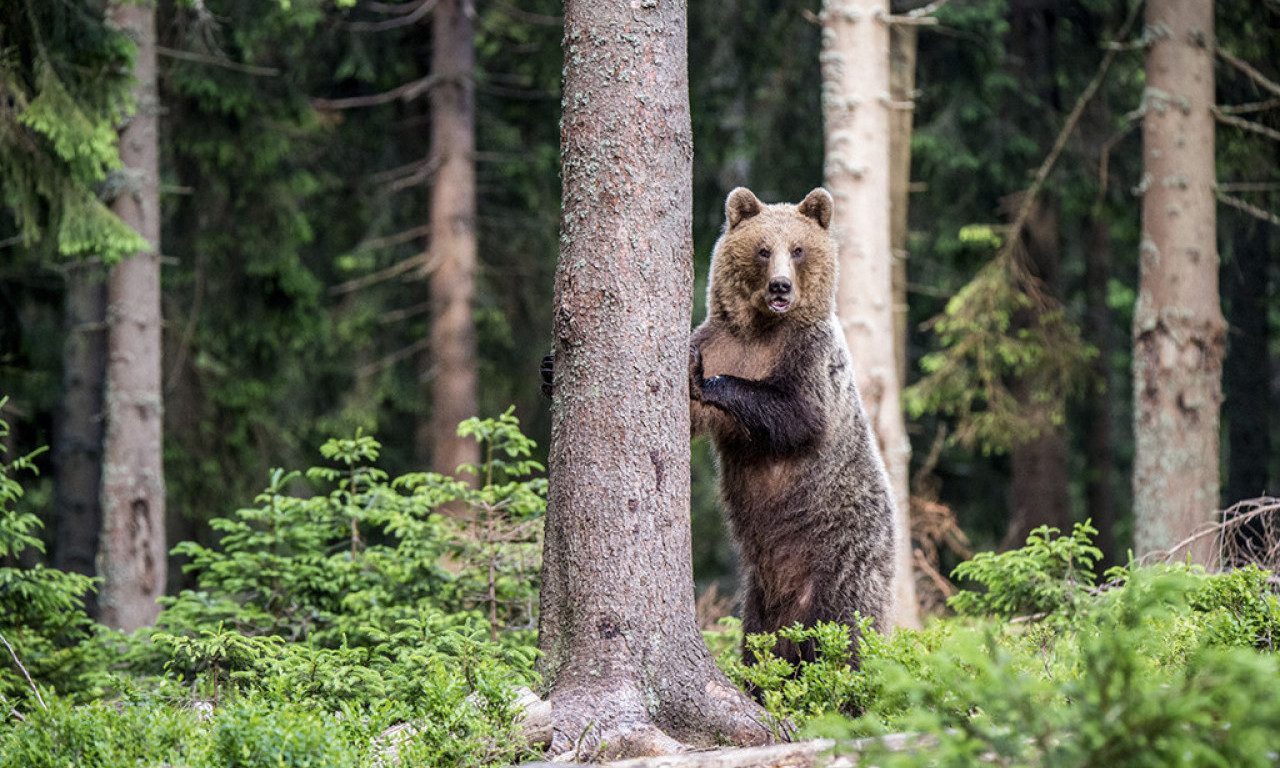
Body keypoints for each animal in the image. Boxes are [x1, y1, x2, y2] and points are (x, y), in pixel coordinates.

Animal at [696, 185, 896, 665]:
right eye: (763, 249)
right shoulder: (720, 340)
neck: (762, 330)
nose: (780, 286)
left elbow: (800, 416)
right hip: (759, 594)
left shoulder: (809, 356)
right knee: (759, 640)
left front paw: (709, 382)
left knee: (845, 633)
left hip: (841, 558)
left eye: (799, 249)